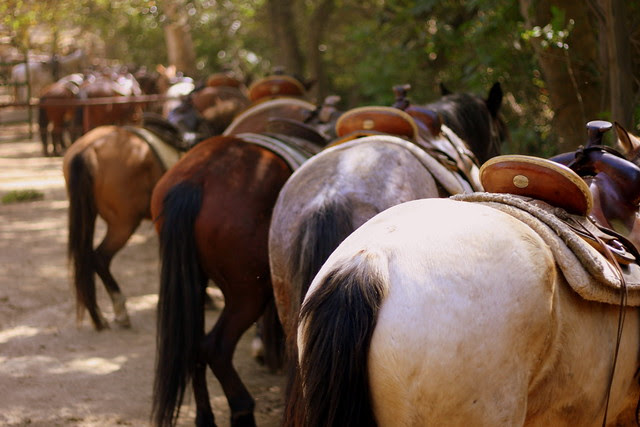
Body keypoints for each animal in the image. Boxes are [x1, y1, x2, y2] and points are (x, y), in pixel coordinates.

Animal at [149, 93, 339, 427]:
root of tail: (194, 181)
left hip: (195, 280)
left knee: (193, 345)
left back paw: (205, 416)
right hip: (247, 291)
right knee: (215, 347)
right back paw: (242, 408)